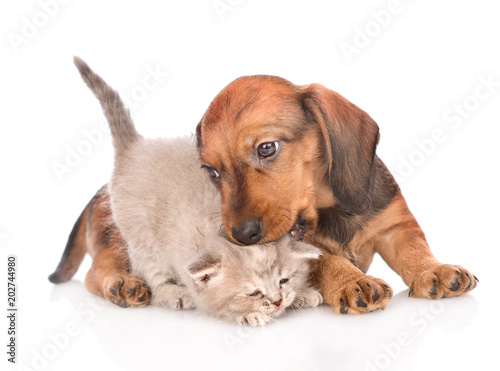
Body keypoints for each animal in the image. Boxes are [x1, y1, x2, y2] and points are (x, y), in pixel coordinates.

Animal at [75, 56, 324, 326]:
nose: (277, 301)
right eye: (254, 293)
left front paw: (302, 293)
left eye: (284, 280)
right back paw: (174, 294)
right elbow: (212, 304)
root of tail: (134, 147)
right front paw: (248, 315)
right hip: (140, 238)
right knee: (149, 275)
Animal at [194, 75, 476, 314]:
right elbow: (329, 262)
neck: (330, 209)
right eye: (212, 171)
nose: (241, 235)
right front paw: (352, 281)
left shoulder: (395, 226)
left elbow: (413, 249)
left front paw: (434, 269)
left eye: (266, 148)